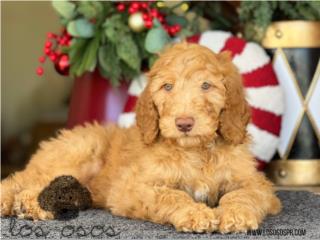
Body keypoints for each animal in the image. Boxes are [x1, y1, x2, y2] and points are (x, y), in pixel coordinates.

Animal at [0, 42, 280, 232]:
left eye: (206, 86)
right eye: (167, 87)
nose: (184, 123)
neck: (196, 151)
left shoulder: (256, 183)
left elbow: (243, 194)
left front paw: (235, 215)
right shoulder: (132, 187)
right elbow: (171, 195)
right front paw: (195, 213)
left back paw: (31, 207)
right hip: (77, 153)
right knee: (21, 180)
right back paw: (18, 204)